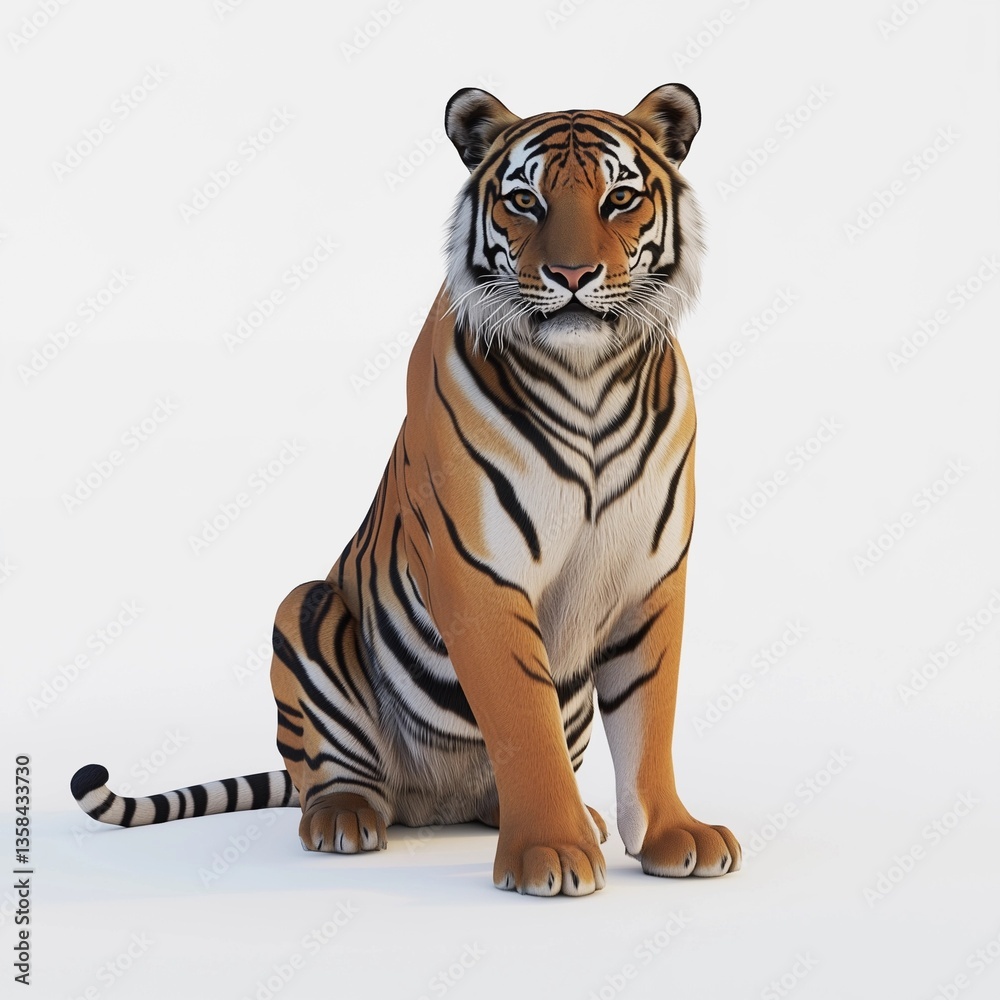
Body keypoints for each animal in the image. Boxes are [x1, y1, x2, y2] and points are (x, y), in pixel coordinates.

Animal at [72, 84, 741, 896]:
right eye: (526, 201)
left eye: (619, 198)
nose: (574, 275)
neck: (587, 377)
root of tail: (433, 806)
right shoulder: (480, 573)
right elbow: (524, 719)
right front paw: (548, 852)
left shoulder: (650, 574)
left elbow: (650, 717)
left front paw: (675, 836)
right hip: (304, 612)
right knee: (332, 774)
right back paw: (345, 820)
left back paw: (573, 817)